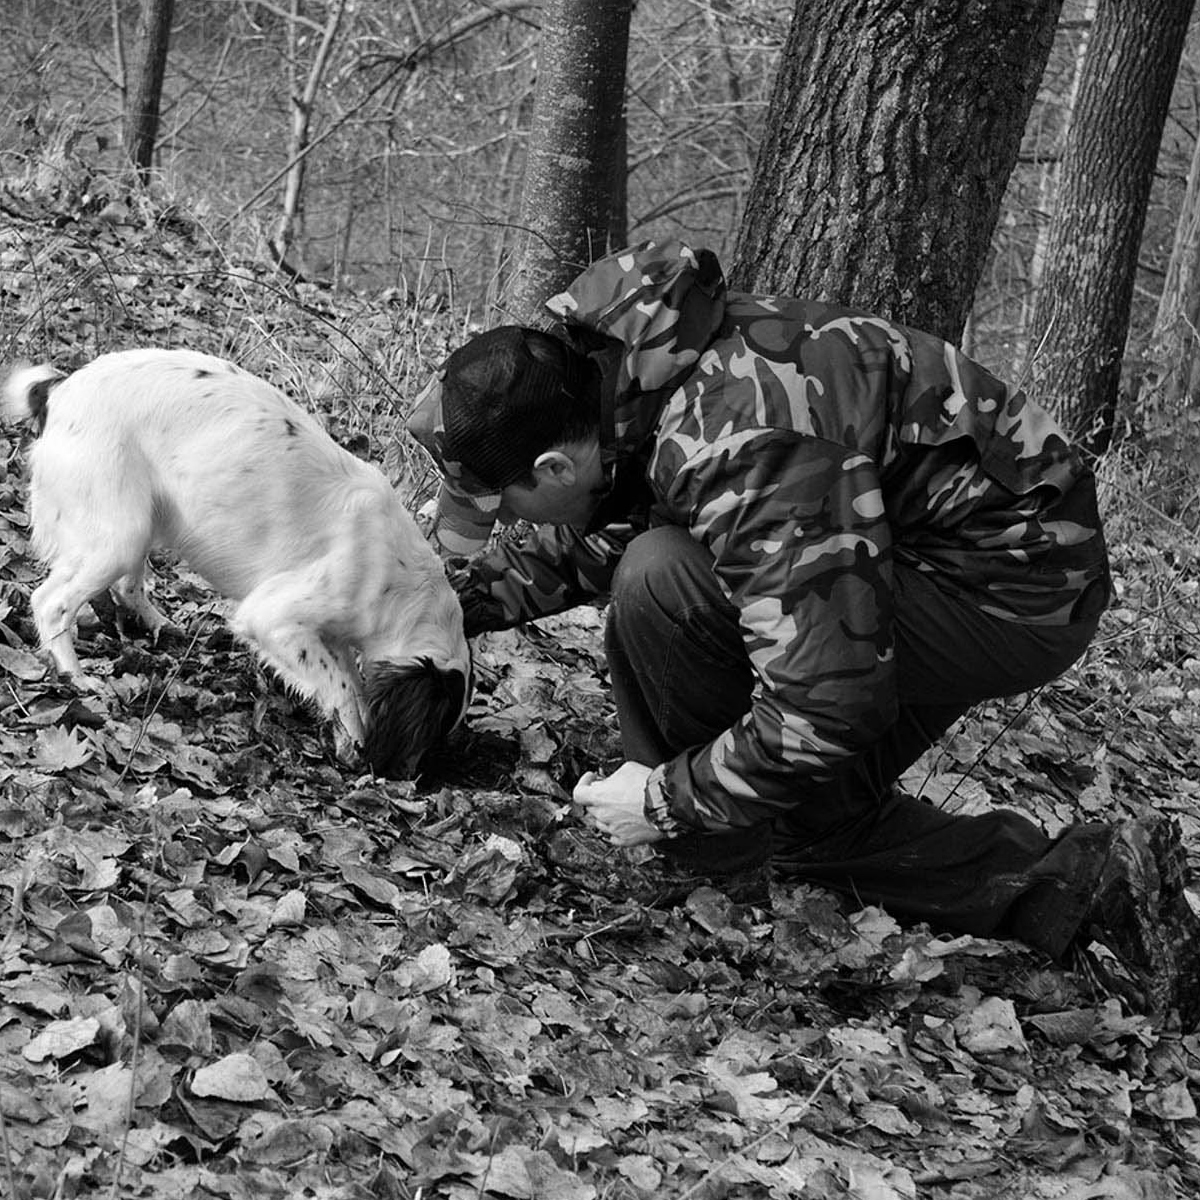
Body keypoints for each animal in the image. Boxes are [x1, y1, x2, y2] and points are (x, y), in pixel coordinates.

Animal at [4, 348, 472, 777]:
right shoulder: (273, 618)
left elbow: (348, 681)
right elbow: (340, 685)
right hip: (119, 535)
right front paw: (356, 737)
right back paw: (74, 674)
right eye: (432, 730)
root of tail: (60, 388)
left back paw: (158, 624)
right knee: (51, 603)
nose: (409, 779)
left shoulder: (329, 633)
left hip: (141, 521)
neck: (402, 580)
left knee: (125, 585)